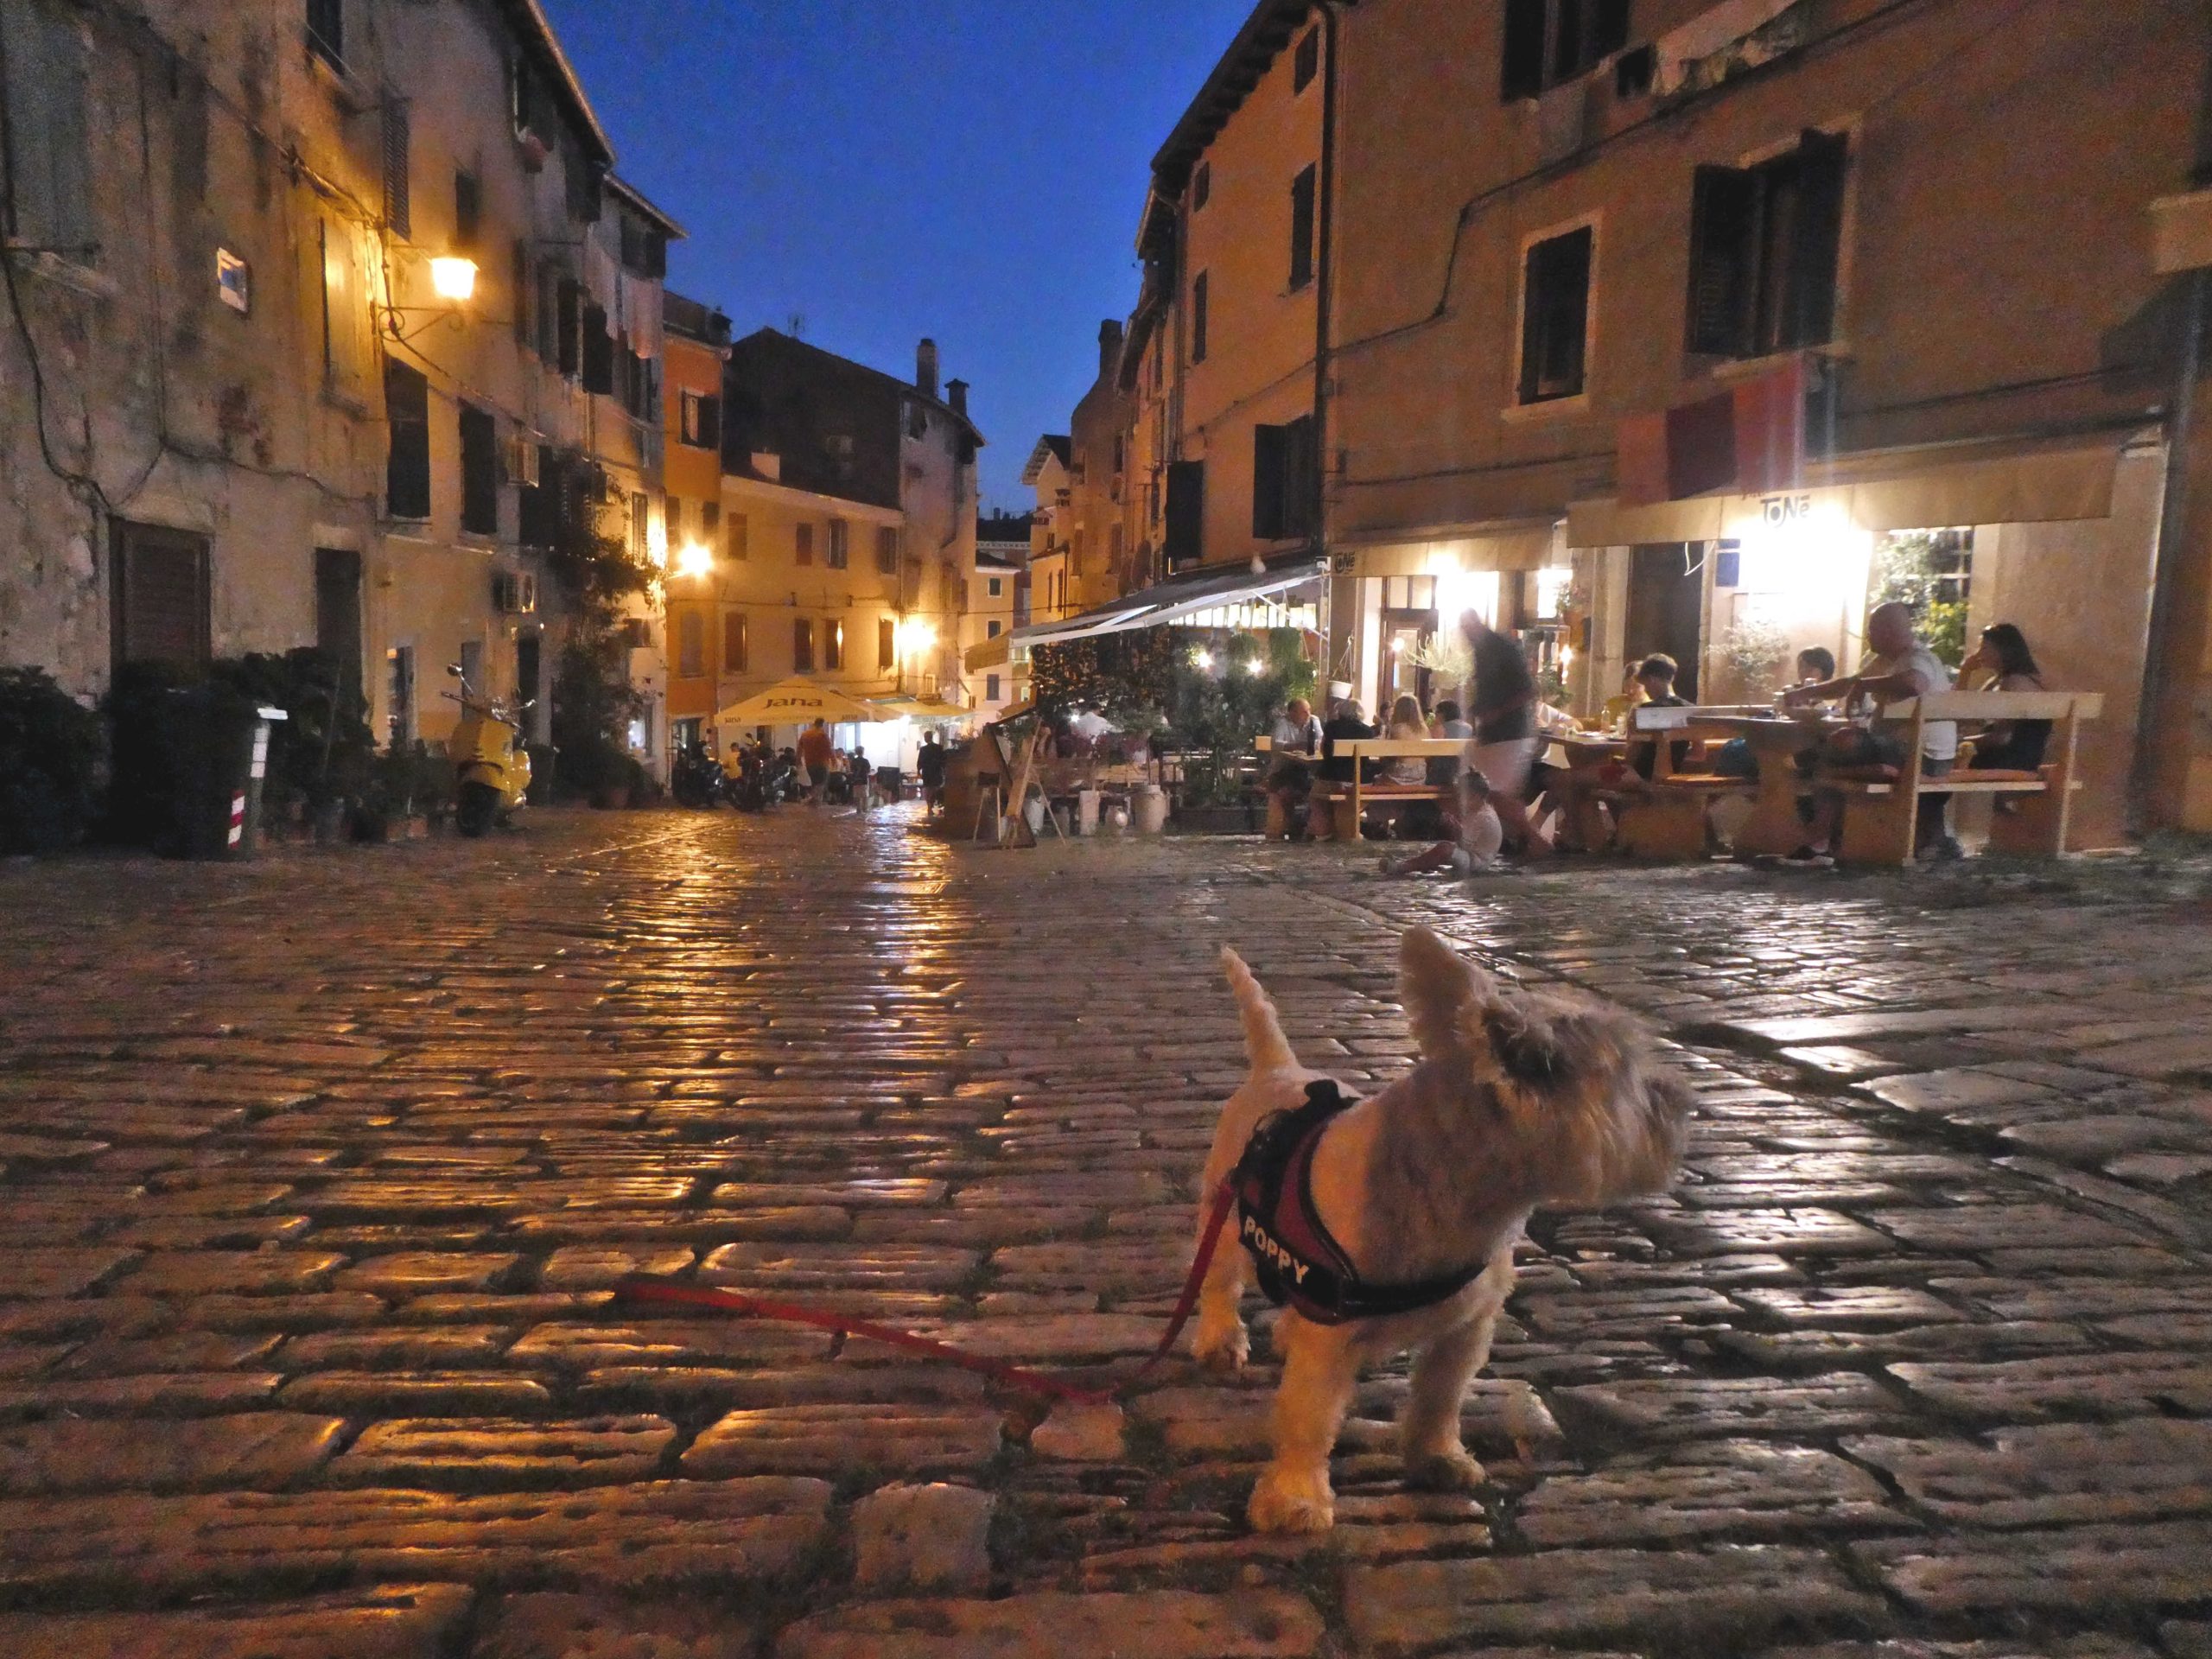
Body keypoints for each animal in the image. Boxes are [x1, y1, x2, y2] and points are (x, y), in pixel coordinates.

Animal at [1203, 925, 1681, 1530]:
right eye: (1628, 1077)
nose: (1683, 1104)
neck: (1462, 1199)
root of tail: (1278, 1070)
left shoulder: (1467, 1328)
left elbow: (1440, 1398)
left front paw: (1437, 1459)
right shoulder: (1331, 1340)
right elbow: (1309, 1415)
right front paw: (1296, 1497)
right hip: (1223, 1225)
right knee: (1219, 1284)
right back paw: (1220, 1341)